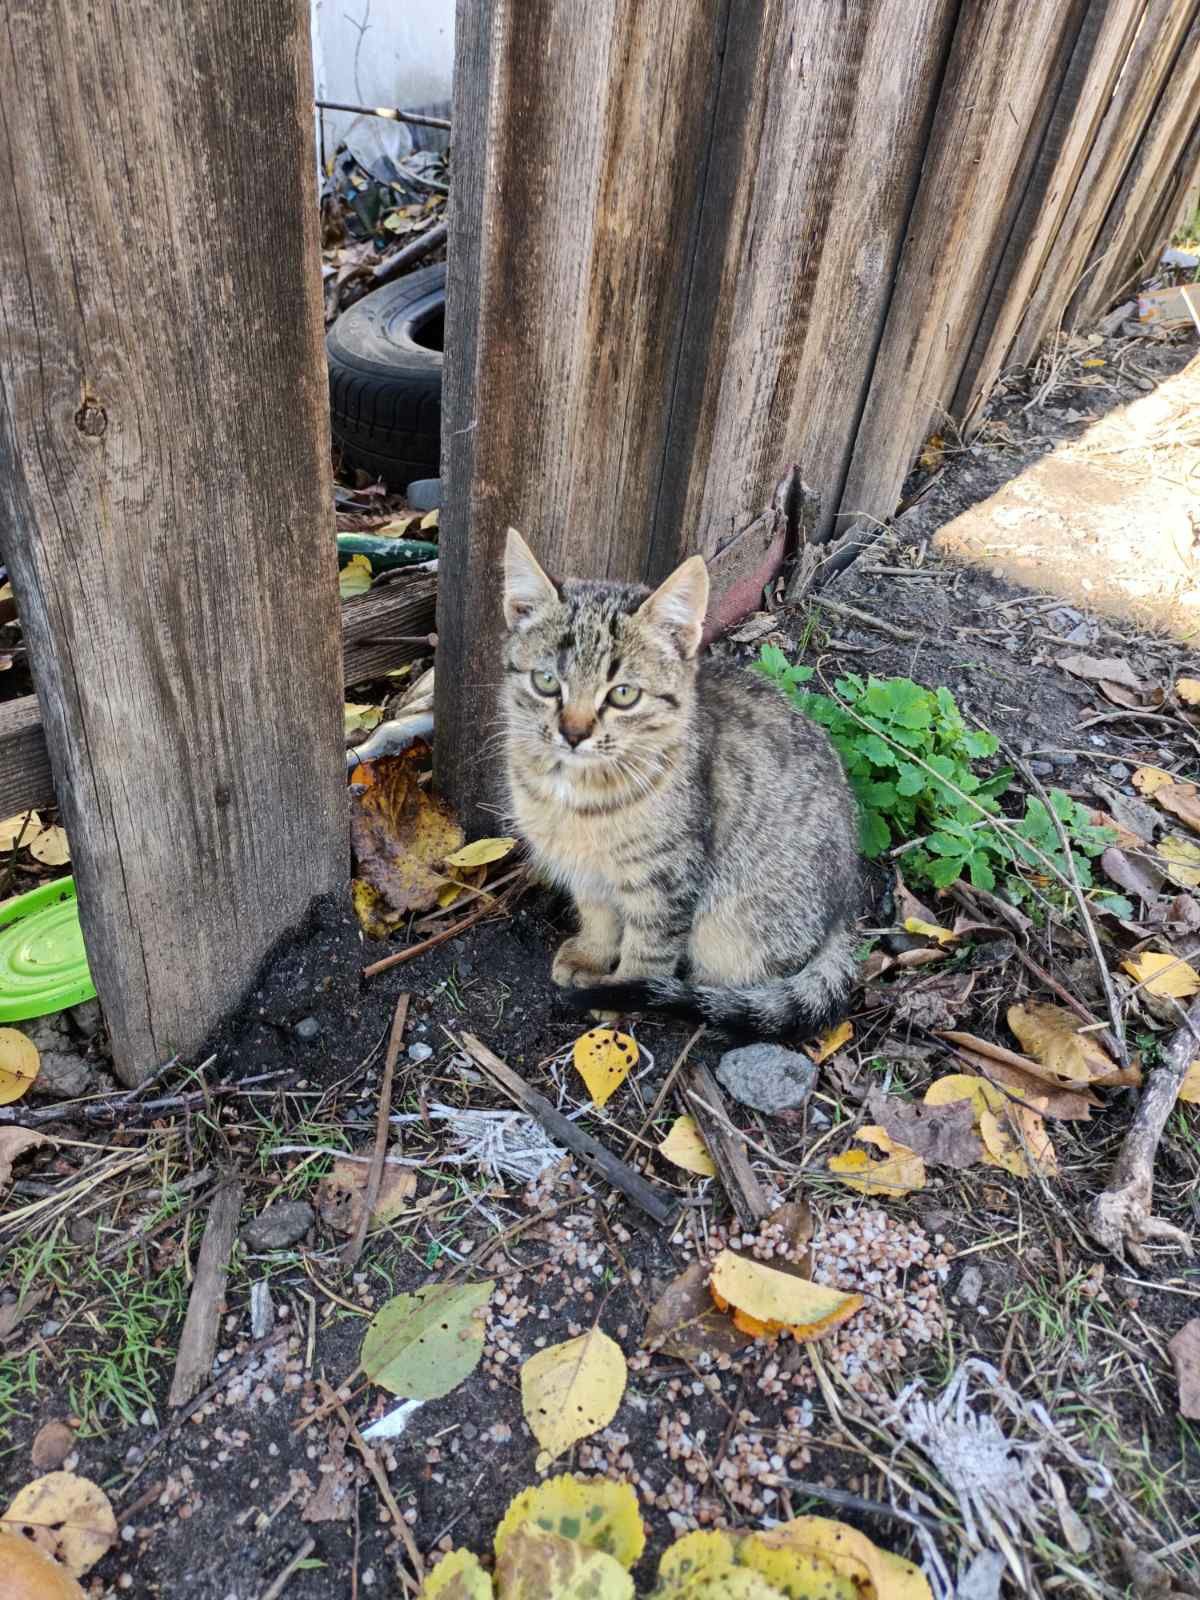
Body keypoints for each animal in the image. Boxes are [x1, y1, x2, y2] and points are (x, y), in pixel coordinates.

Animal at [499, 524, 864, 1036]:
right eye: (547, 682)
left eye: (624, 694)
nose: (573, 733)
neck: (577, 794)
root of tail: (845, 914)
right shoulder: (587, 871)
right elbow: (597, 913)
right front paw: (590, 954)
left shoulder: (667, 878)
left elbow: (649, 944)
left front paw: (623, 990)